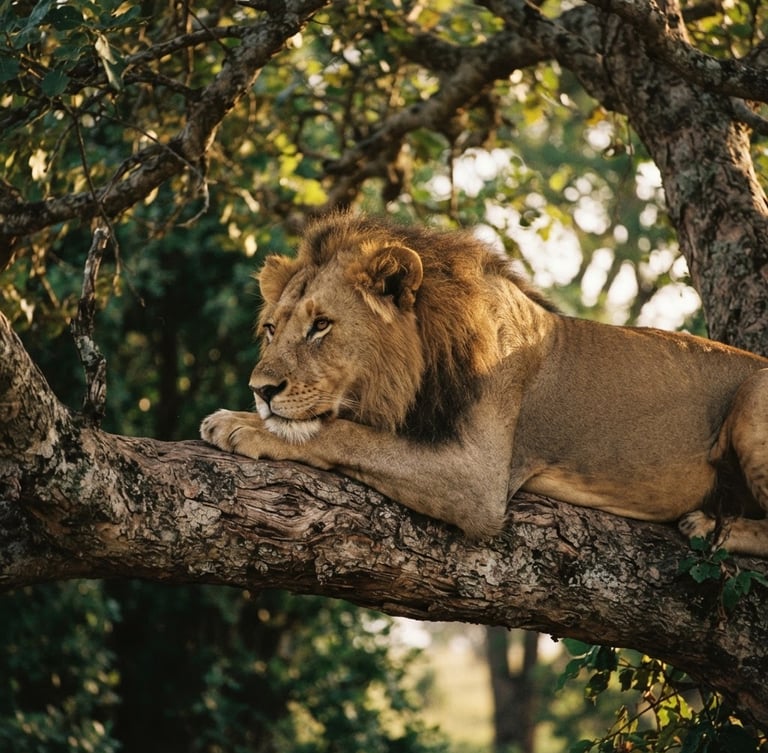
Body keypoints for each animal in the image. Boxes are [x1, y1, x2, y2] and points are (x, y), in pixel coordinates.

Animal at [201, 212, 768, 557]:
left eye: (321, 326)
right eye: (271, 329)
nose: (260, 390)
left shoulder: (478, 479)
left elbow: (344, 434)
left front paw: (244, 426)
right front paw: (242, 416)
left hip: (753, 401)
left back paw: (709, 525)